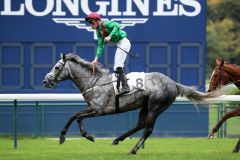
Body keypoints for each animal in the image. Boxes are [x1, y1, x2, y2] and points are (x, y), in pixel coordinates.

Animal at [43, 53, 219, 154]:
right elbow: (78, 117)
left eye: (57, 67)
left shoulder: (98, 109)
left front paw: (63, 136)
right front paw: (88, 136)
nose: (45, 81)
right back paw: (117, 139)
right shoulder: (94, 109)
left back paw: (133, 149)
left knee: (147, 129)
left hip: (155, 107)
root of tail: (173, 83)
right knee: (140, 124)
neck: (95, 81)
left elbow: (74, 115)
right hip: (145, 106)